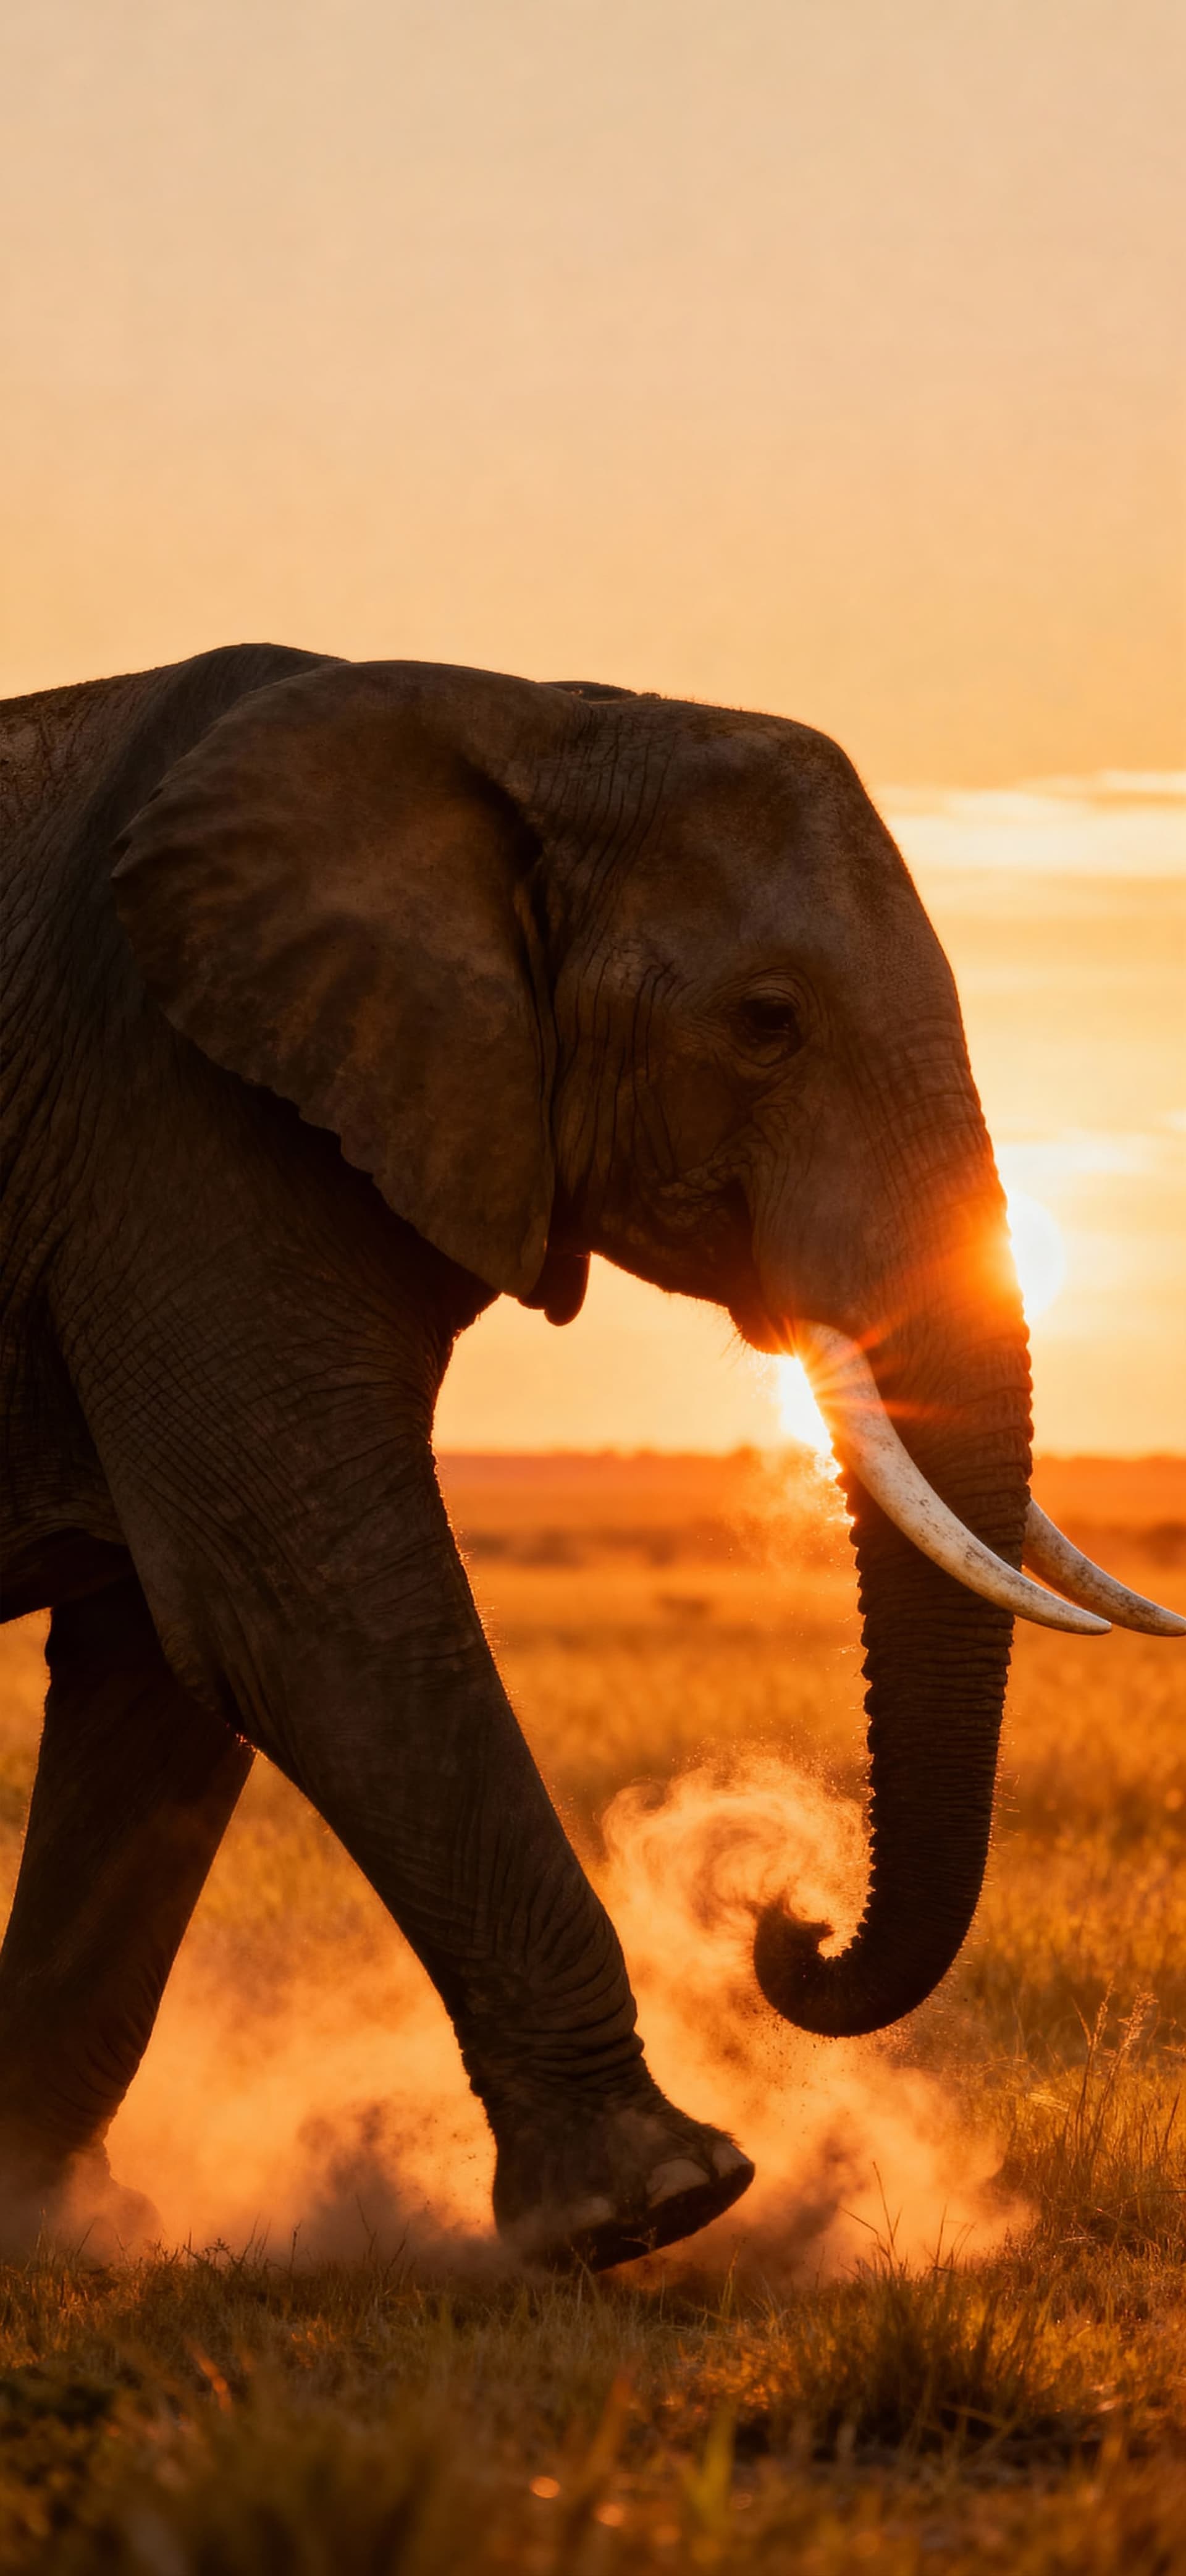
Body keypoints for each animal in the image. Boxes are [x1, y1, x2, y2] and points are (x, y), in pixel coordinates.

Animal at [1, 642, 1180, 2268]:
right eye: (765, 1019)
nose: (790, 1921)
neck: (525, 715)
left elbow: (164, 1668)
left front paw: (45, 2219)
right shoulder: (171, 1116)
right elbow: (298, 1608)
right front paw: (661, 2202)